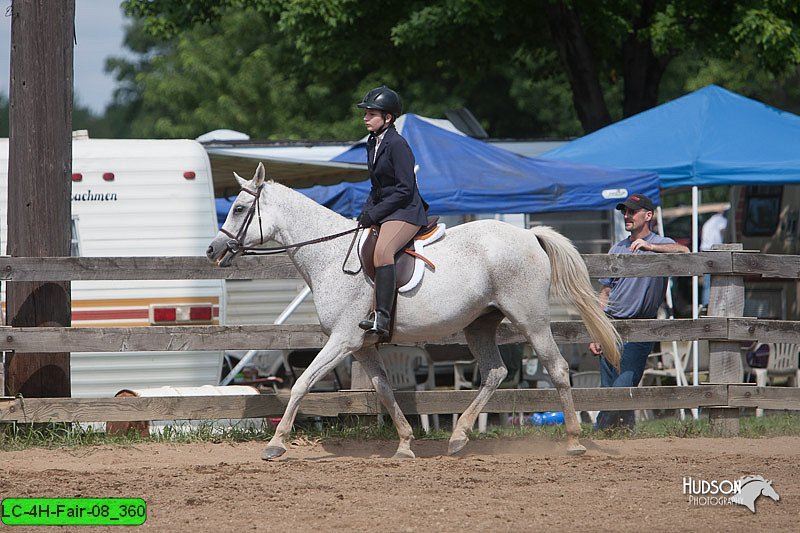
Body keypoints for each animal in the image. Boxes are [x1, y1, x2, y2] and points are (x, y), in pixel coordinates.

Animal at [205, 162, 620, 458]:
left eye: (239, 208)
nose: (212, 250)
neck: (328, 254)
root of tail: (530, 235)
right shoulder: (362, 346)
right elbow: (384, 390)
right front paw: (405, 444)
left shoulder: (342, 339)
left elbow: (302, 383)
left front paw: (276, 443)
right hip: (479, 324)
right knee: (495, 372)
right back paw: (458, 436)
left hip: (531, 319)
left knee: (557, 367)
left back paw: (573, 441)